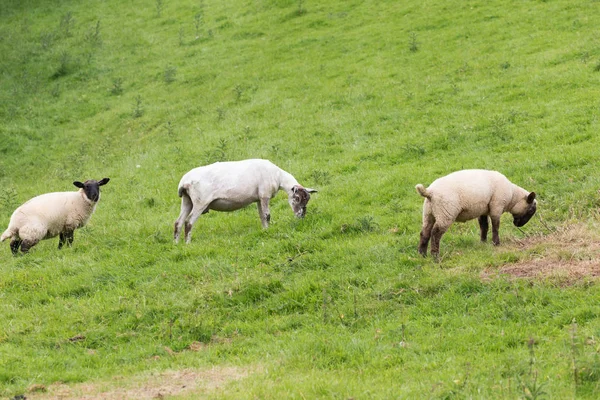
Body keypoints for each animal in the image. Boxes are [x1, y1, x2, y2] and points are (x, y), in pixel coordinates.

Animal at [175, 159, 318, 244]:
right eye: (297, 198)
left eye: (307, 200)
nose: (301, 216)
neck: (278, 177)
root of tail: (184, 182)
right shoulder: (265, 195)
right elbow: (267, 216)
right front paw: (268, 230)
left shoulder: (259, 198)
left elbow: (262, 216)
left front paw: (265, 231)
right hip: (200, 202)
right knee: (189, 222)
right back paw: (187, 243)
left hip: (187, 201)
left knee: (178, 222)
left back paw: (176, 244)